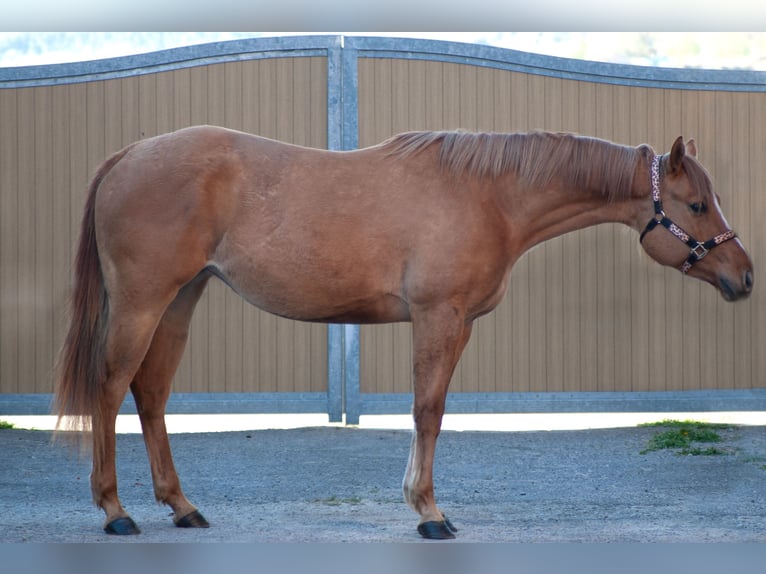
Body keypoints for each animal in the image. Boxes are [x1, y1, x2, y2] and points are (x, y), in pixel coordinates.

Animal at [54, 125, 753, 539]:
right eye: (697, 205)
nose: (744, 277)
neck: (488, 196)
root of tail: (127, 156)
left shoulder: (457, 324)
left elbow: (431, 410)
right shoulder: (437, 316)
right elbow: (427, 410)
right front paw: (429, 512)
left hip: (180, 300)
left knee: (150, 395)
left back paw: (182, 507)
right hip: (143, 302)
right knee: (111, 389)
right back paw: (116, 513)